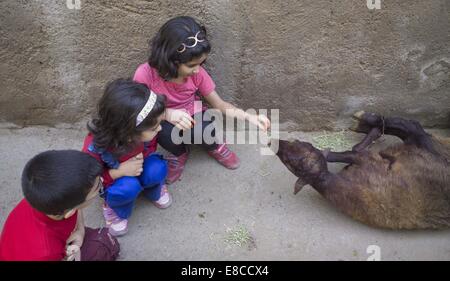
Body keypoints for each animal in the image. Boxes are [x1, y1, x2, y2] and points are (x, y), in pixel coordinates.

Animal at [274, 110, 450, 229]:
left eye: (289, 160)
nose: (276, 144)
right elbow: (352, 151)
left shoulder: (368, 160)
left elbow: (350, 152)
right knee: (411, 127)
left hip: (430, 148)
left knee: (412, 126)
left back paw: (366, 121)